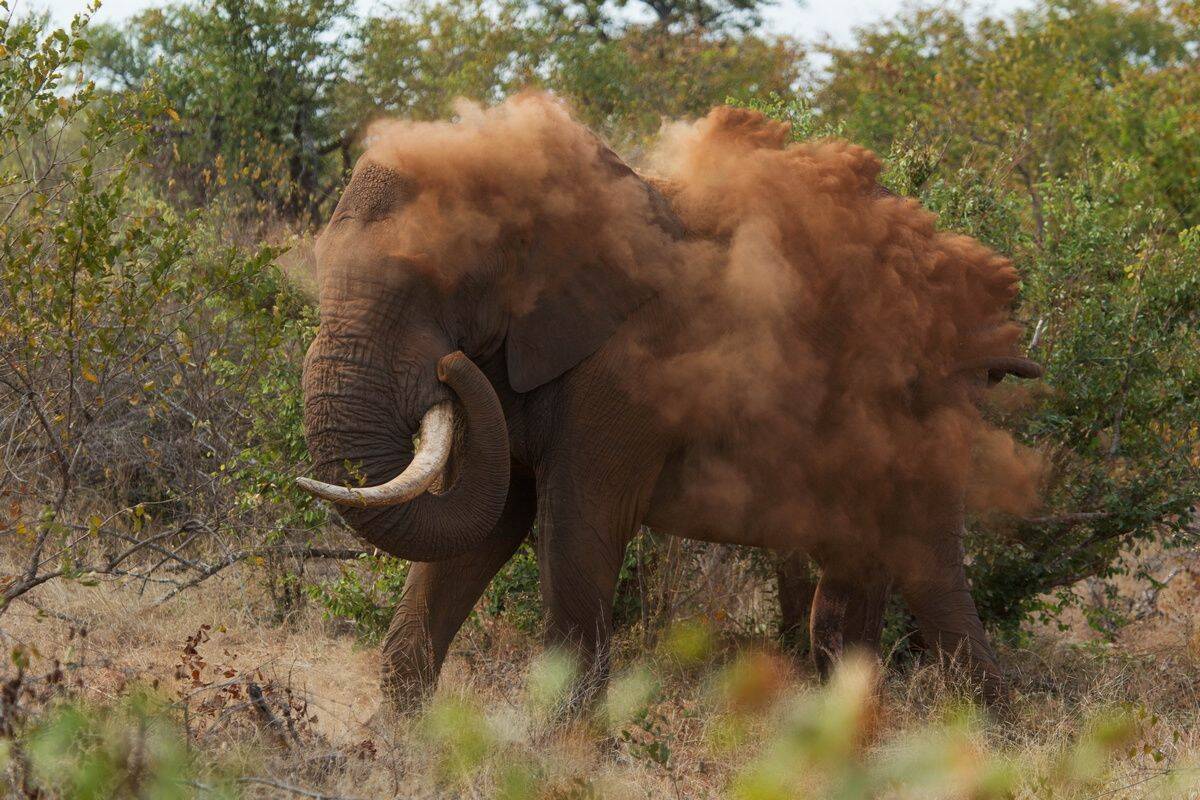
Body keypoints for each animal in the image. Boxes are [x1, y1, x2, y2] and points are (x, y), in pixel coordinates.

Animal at [295, 97, 1036, 710]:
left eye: (436, 281)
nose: (448, 366)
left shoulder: (625, 375)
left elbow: (575, 530)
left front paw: (558, 753)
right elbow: (480, 525)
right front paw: (391, 744)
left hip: (926, 421)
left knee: (930, 569)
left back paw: (990, 734)